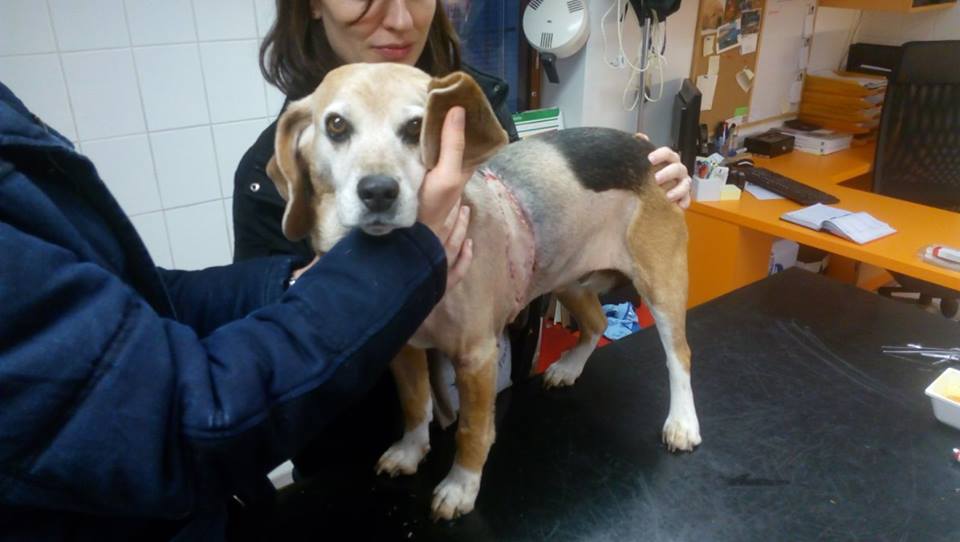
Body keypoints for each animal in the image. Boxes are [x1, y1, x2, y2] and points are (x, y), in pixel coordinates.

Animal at [267, 63, 701, 520]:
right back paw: (569, 367)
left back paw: (683, 423)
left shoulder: (476, 357)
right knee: (597, 322)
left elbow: (472, 430)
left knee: (679, 356)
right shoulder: (405, 349)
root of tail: (642, 147)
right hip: (564, 275)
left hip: (661, 283)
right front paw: (411, 450)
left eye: (416, 126)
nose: (378, 191)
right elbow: (415, 404)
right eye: (336, 125)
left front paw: (461, 486)